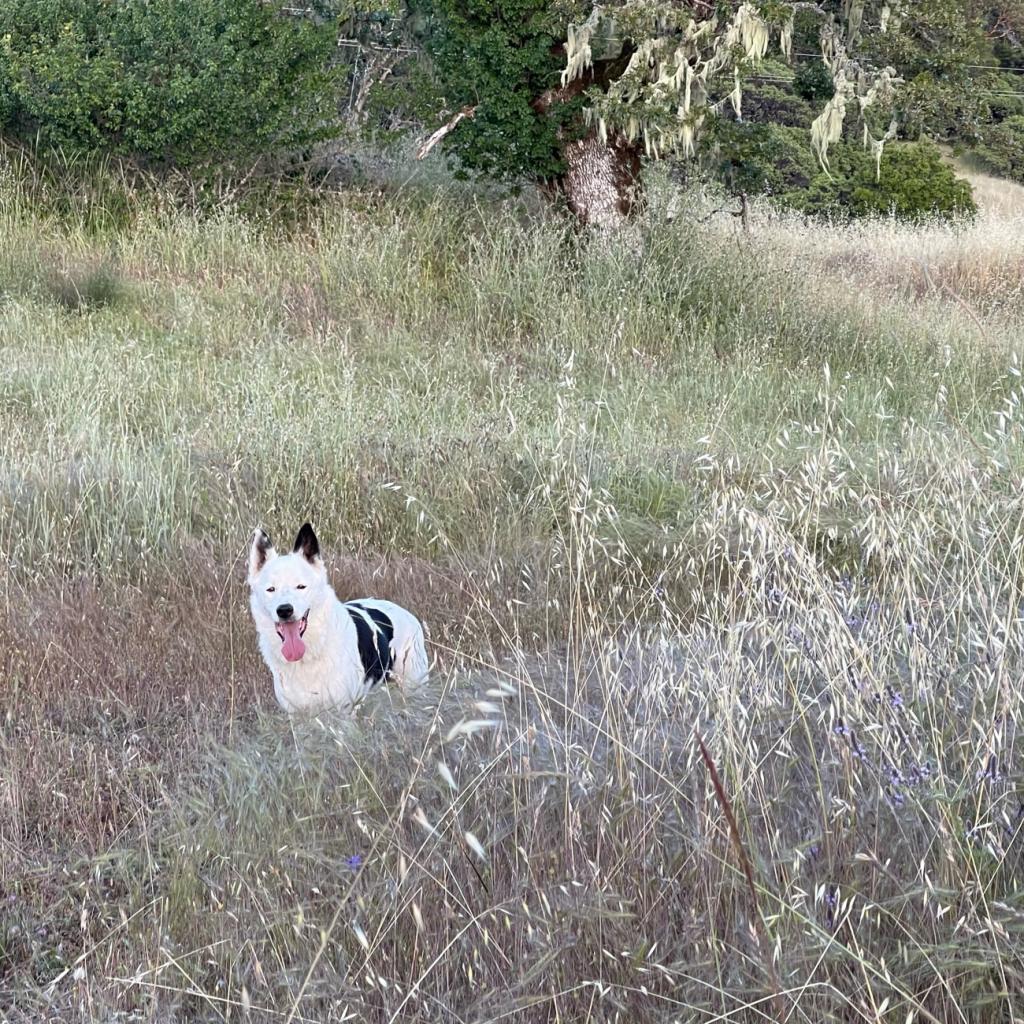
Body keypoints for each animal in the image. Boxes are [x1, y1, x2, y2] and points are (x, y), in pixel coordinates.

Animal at [247, 520, 428, 712]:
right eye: (271, 589)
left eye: (301, 586)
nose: (284, 610)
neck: (313, 648)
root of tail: (405, 613)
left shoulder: (343, 710)